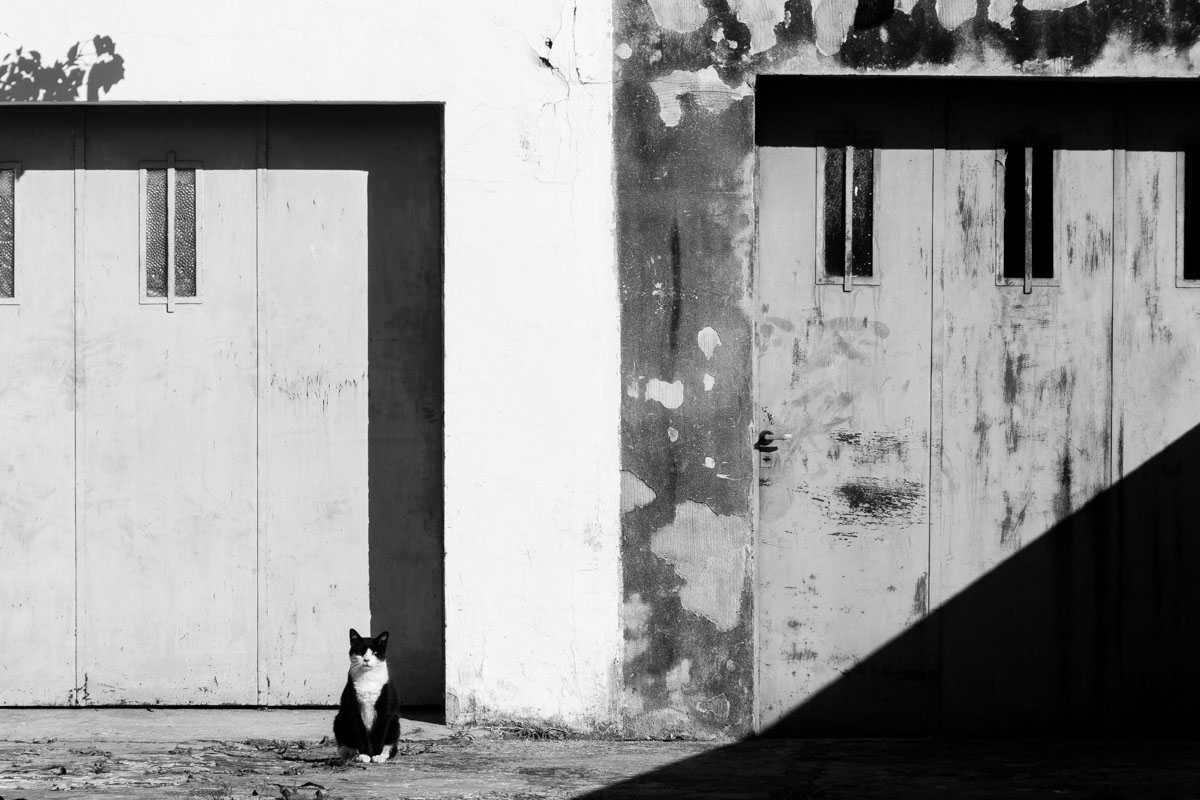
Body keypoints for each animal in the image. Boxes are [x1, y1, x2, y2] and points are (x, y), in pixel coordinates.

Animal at [332, 628, 401, 763]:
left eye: (374, 652)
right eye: (360, 652)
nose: (367, 660)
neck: (368, 678)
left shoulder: (385, 709)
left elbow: (380, 734)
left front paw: (376, 755)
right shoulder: (354, 709)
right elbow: (360, 733)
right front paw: (364, 754)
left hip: (395, 723)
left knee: (392, 746)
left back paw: (381, 755)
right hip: (340, 719)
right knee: (345, 746)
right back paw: (353, 754)